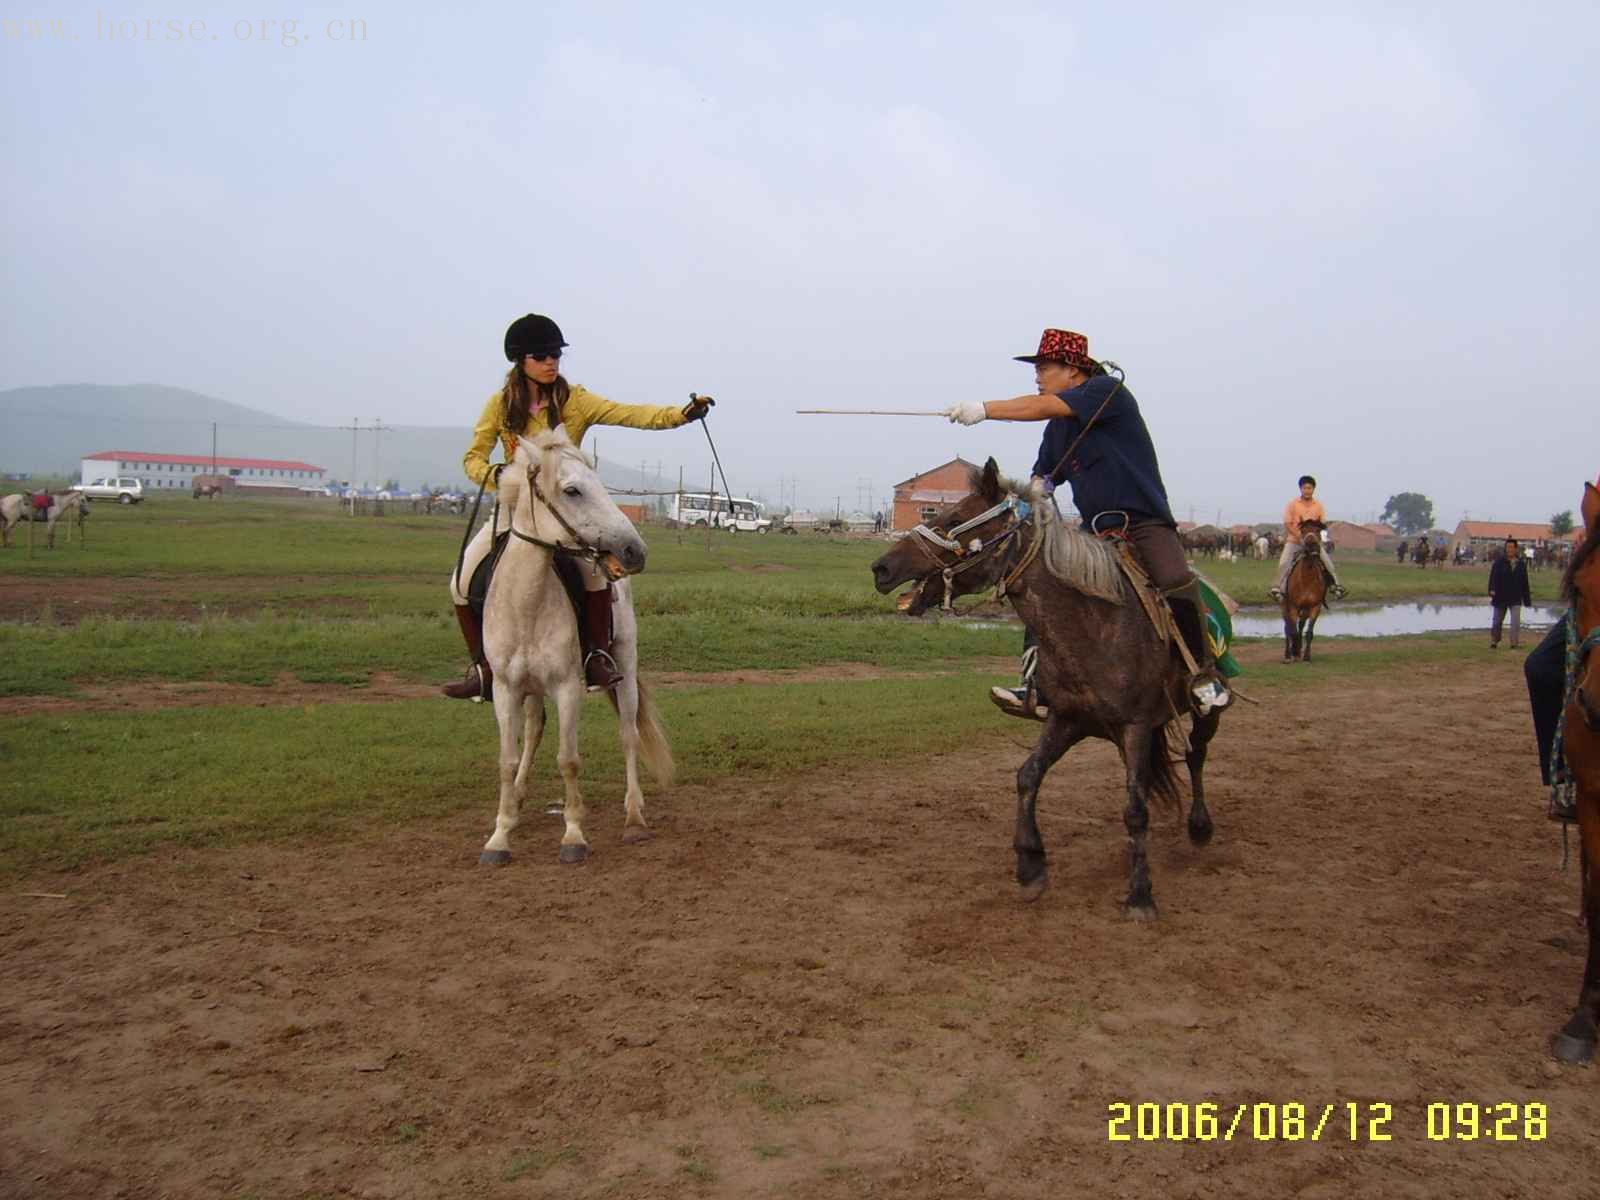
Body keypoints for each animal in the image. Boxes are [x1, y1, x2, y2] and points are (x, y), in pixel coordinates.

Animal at [473, 428, 675, 870]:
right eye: (572, 490)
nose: (635, 550)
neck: (526, 604)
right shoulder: (505, 689)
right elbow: (506, 760)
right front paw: (499, 835)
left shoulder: (568, 686)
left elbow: (568, 760)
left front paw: (573, 836)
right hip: (530, 690)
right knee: (534, 729)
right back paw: (519, 798)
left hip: (624, 666)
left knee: (629, 733)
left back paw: (634, 818)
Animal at [870, 460, 1216, 921]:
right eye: (936, 513)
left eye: (953, 519)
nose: (881, 568)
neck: (1094, 628)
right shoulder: (1068, 719)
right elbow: (1028, 776)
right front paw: (1030, 863)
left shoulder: (1136, 726)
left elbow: (1135, 809)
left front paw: (1141, 894)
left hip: (1205, 711)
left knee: (1196, 756)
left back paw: (1200, 826)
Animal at [1280, 518, 1331, 668]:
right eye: (1303, 530)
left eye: (1318, 530)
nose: (1312, 546)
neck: (1307, 578)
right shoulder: (1293, 607)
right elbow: (1293, 632)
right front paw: (1295, 653)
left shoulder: (1315, 607)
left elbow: (1309, 632)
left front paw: (1306, 656)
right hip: (1285, 607)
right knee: (1288, 629)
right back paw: (1288, 654)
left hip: (1305, 610)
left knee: (1300, 626)